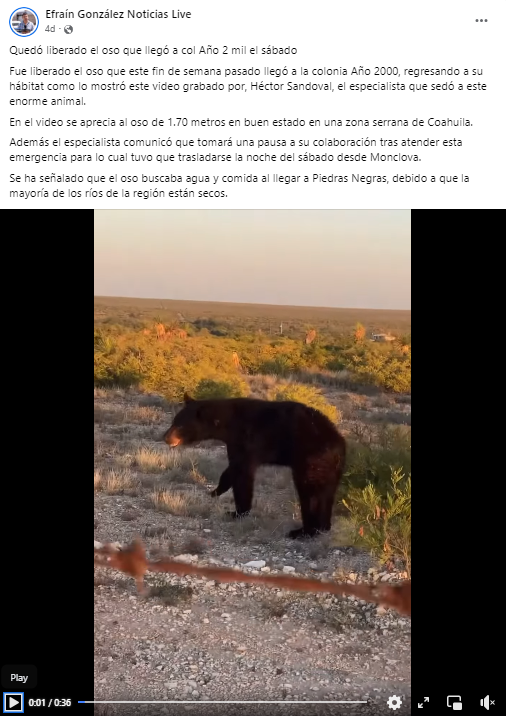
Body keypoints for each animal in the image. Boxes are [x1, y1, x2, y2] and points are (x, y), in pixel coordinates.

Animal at [162, 393, 346, 539]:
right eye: (173, 421)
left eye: (180, 425)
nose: (165, 437)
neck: (226, 422)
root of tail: (338, 445)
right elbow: (231, 470)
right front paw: (216, 491)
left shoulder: (245, 440)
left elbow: (242, 473)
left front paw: (237, 512)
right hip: (330, 469)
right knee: (326, 492)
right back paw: (322, 527)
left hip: (311, 460)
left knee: (311, 493)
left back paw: (304, 531)